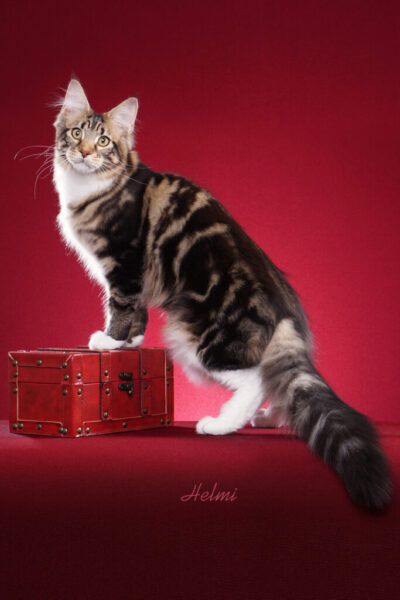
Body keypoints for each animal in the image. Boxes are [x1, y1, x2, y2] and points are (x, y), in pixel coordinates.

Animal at [53, 79, 391, 511]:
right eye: (77, 133)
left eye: (104, 141)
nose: (83, 153)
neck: (95, 186)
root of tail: (284, 311)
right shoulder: (135, 275)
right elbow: (137, 315)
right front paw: (131, 343)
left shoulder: (124, 263)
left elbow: (120, 307)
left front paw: (109, 343)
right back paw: (268, 418)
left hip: (197, 340)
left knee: (256, 379)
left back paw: (221, 424)